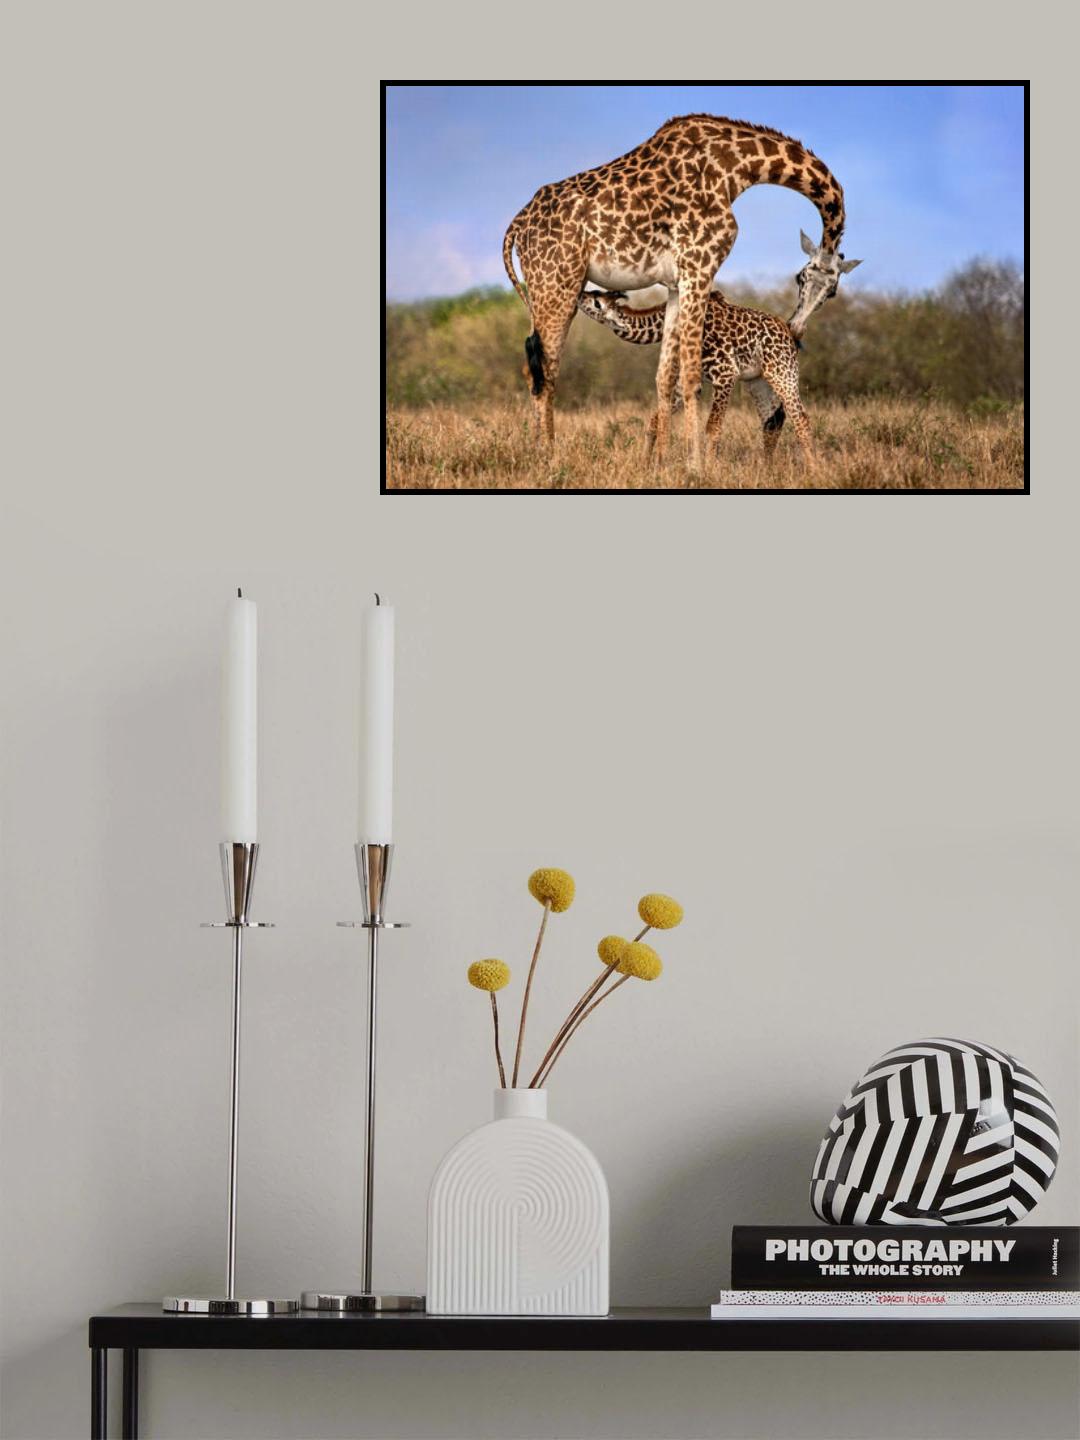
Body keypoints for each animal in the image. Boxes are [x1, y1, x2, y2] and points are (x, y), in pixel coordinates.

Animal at [576, 288, 814, 463]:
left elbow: (712, 428)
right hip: (758, 382)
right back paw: (767, 469)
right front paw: (645, 465)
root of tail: (791, 334)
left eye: (596, 301)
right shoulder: (686, 381)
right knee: (772, 423)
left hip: (782, 373)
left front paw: (709, 471)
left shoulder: (726, 373)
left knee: (801, 419)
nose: (580, 293)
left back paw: (814, 470)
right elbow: (654, 420)